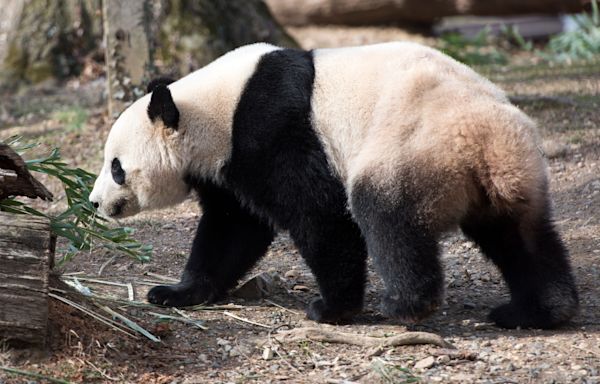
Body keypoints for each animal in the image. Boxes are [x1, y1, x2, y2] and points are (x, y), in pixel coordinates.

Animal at [88, 42, 576, 330]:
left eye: (116, 167)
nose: (95, 203)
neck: (212, 108)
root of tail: (487, 142)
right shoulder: (226, 165)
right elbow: (232, 228)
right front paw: (175, 293)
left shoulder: (271, 128)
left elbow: (318, 214)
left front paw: (333, 308)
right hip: (512, 176)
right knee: (523, 237)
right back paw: (540, 309)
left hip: (415, 145)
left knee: (386, 214)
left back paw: (405, 303)